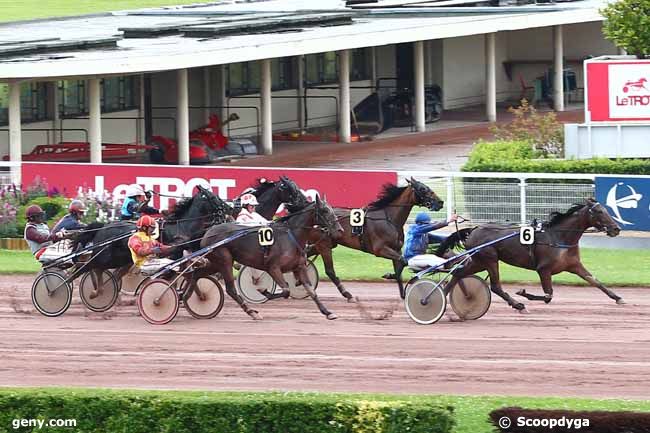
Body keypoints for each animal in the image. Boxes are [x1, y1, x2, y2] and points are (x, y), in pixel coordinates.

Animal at [190, 196, 344, 320]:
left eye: (331, 210)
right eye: (325, 211)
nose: (340, 230)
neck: (291, 236)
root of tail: (208, 232)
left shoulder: (299, 267)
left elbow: (312, 291)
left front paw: (328, 312)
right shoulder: (273, 268)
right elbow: (286, 290)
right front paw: (264, 292)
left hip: (216, 262)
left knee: (196, 274)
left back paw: (192, 297)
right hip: (224, 261)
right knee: (231, 289)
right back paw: (252, 312)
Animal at [306, 176, 442, 300]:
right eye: (422, 189)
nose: (440, 202)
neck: (389, 219)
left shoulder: (396, 249)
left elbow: (400, 267)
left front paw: (404, 294)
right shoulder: (380, 249)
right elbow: (403, 262)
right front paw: (390, 275)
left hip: (325, 244)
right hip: (324, 244)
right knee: (329, 270)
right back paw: (346, 294)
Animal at [438, 197, 620, 312]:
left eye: (606, 210)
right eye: (599, 212)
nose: (616, 229)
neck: (559, 237)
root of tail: (474, 229)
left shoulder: (574, 265)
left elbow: (595, 281)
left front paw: (617, 297)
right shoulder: (544, 269)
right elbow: (548, 295)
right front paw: (523, 293)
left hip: (479, 261)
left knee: (458, 274)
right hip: (489, 259)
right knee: (495, 286)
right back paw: (518, 305)